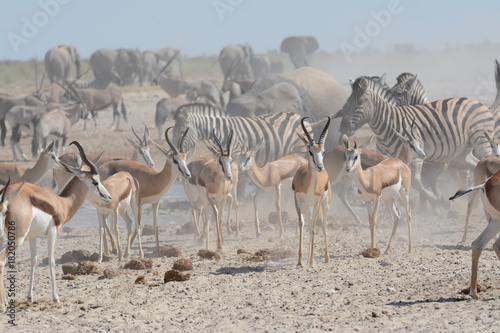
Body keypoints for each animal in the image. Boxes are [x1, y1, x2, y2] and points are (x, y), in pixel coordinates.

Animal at [336, 76, 496, 204]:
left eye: (360, 102)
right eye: (346, 102)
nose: (342, 127)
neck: (388, 126)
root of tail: (478, 102)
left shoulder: (417, 153)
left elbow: (417, 182)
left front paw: (437, 199)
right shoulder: (387, 157)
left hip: (481, 141)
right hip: (462, 152)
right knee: (475, 165)